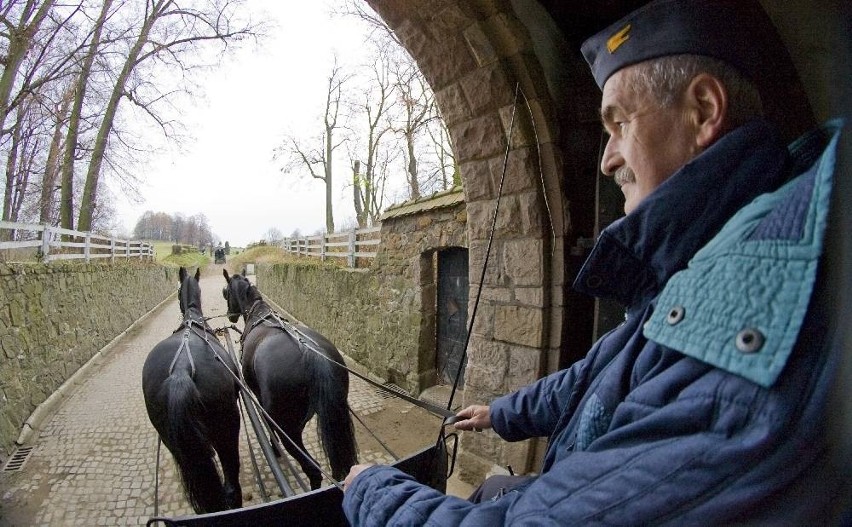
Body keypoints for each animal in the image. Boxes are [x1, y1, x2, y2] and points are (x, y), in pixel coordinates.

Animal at [221, 272, 358, 490]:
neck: (259, 315)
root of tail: (314, 355)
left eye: (226, 292)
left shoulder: (260, 398)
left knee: (313, 470)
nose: (230, 315)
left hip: (287, 428)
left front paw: (274, 448)